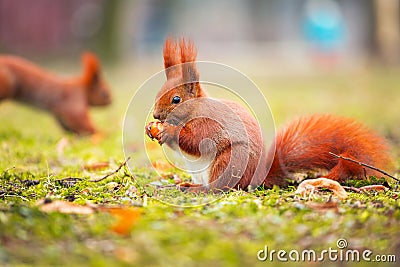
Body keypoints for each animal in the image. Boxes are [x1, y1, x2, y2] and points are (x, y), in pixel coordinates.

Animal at [145, 37, 392, 193]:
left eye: (176, 100)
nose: (156, 114)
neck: (195, 109)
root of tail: (257, 177)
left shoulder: (211, 123)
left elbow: (199, 141)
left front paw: (168, 131)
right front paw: (152, 129)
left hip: (229, 163)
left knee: (220, 188)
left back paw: (196, 189)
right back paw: (188, 185)